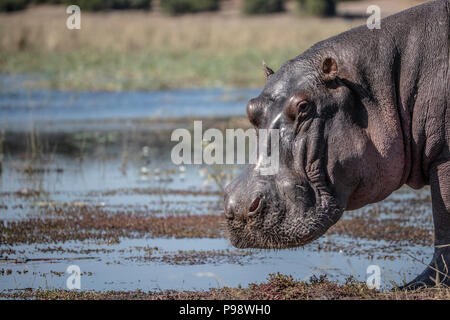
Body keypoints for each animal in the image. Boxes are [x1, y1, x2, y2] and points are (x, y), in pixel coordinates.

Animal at [223, 0, 448, 288]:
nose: (239, 208)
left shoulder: (444, 157)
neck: (383, 86)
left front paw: (420, 284)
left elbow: (443, 221)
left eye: (304, 107)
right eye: (251, 108)